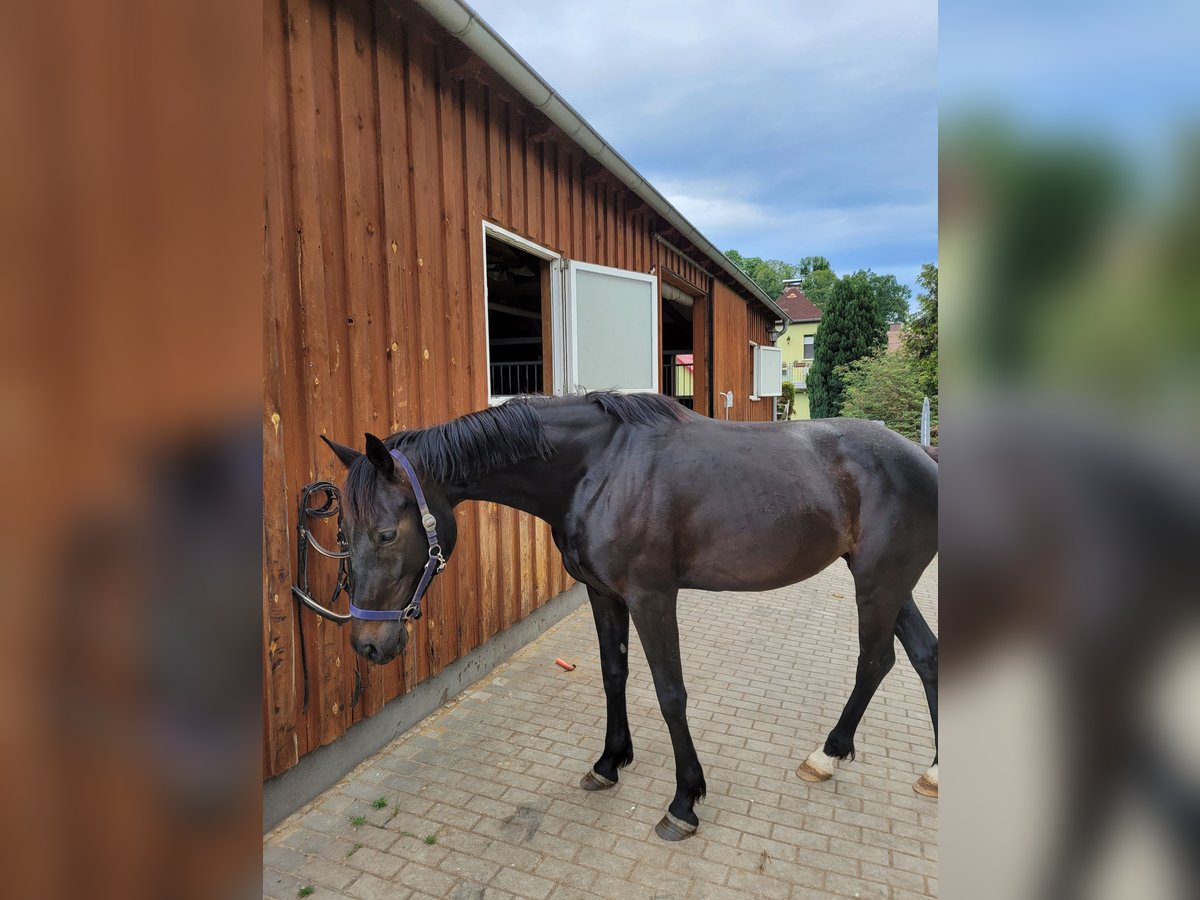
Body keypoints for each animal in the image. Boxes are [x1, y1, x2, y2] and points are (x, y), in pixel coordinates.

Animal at [319, 391, 936, 844]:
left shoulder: (652, 598)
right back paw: (919, 769)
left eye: (386, 533)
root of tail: (922, 457)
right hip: (889, 585)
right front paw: (609, 762)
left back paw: (830, 755)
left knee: (876, 661)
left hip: (879, 583)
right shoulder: (603, 594)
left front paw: (684, 801)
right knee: (923, 657)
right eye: (342, 532)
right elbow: (613, 674)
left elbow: (670, 693)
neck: (599, 471)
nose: (369, 644)